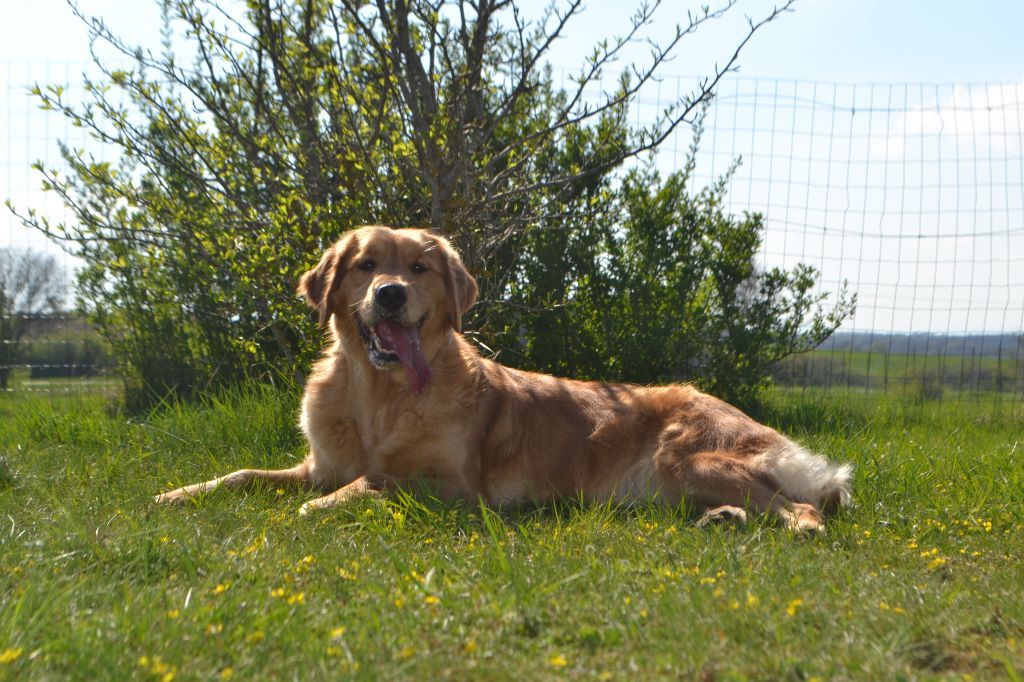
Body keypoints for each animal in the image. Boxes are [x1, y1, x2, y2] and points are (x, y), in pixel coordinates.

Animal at [157, 225, 847, 528]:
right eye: (365, 265)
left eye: (419, 268)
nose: (390, 294)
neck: (380, 397)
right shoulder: (318, 463)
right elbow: (244, 474)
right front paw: (180, 493)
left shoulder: (460, 488)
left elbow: (377, 481)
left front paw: (320, 506)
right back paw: (723, 520)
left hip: (690, 458)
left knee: (806, 509)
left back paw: (773, 522)